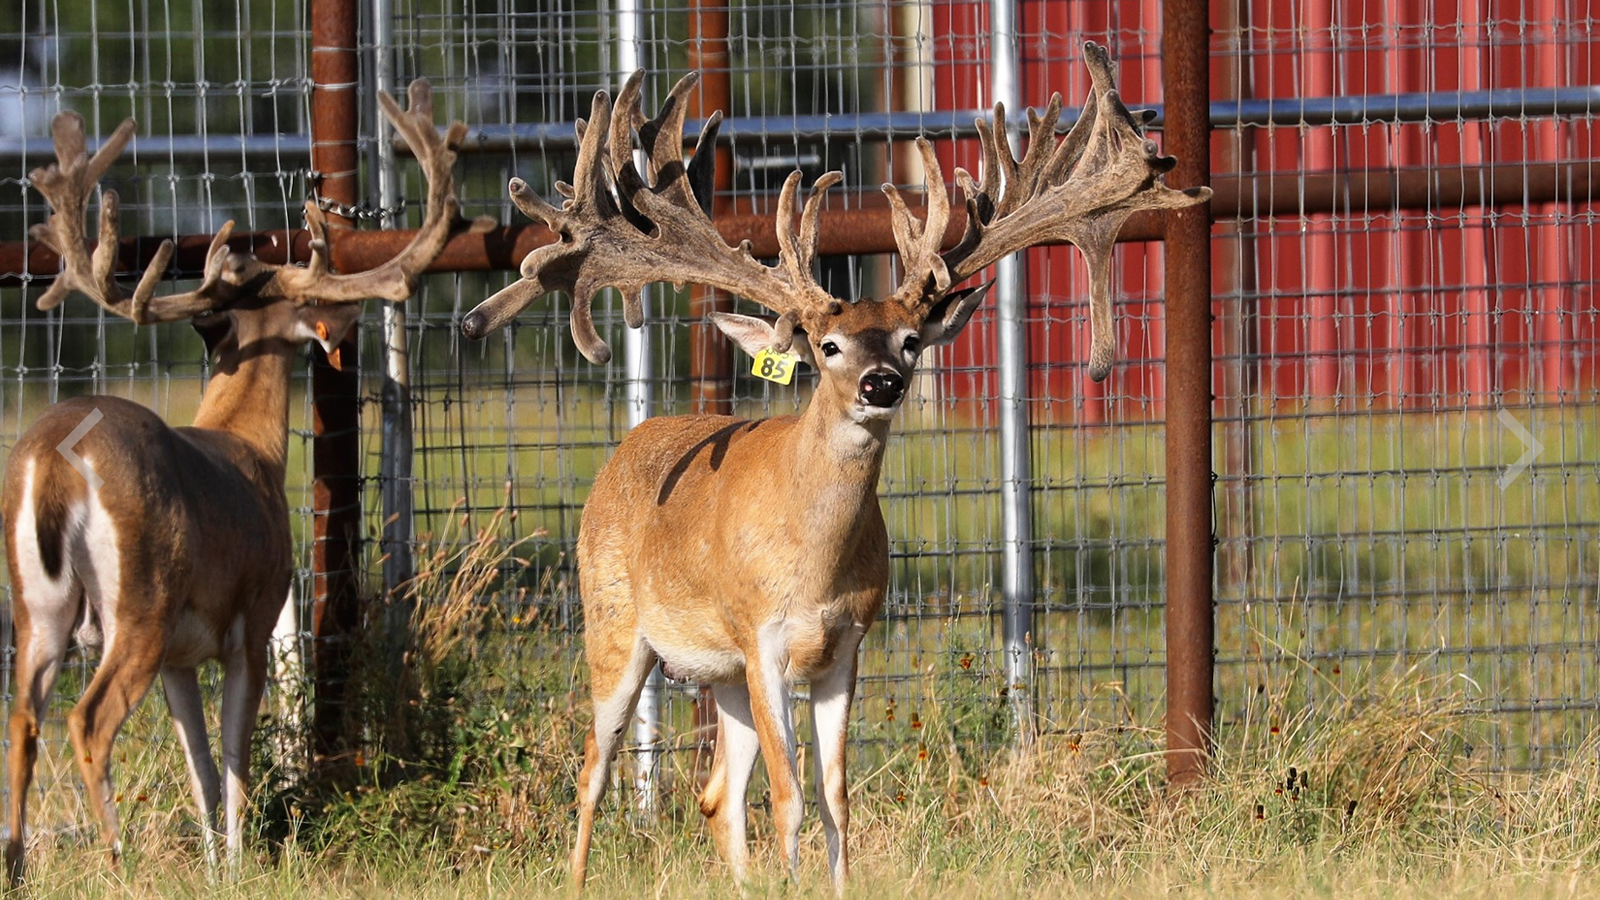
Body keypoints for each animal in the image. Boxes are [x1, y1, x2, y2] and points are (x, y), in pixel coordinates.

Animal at [457, 42, 1203, 890]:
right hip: (614, 623)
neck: (813, 560)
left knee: (717, 794)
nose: (884, 383)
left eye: (911, 340)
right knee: (594, 770)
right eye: (828, 345)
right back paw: (580, 877)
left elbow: (834, 796)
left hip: (719, 673)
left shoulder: (846, 642)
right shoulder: (762, 636)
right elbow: (787, 797)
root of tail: (625, 449)